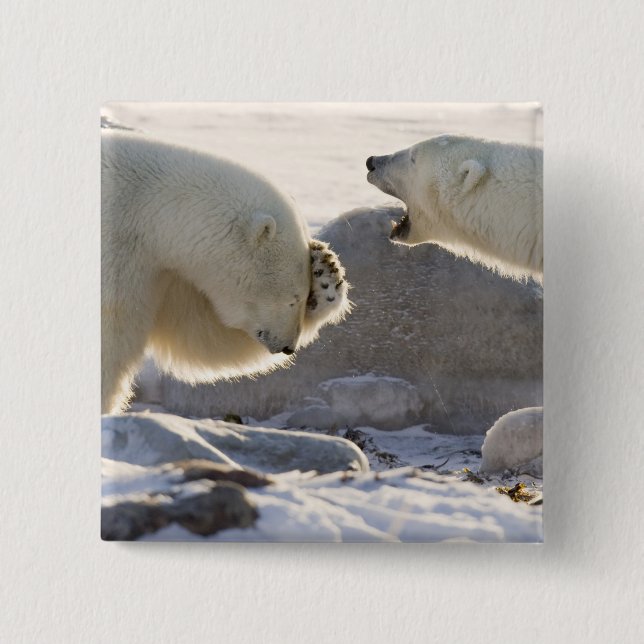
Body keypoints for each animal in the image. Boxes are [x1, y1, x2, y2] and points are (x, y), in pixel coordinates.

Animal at [102, 131, 350, 414]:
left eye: (305, 296)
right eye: (292, 299)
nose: (288, 346)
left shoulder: (161, 270)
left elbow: (199, 332)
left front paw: (327, 275)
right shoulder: (118, 252)